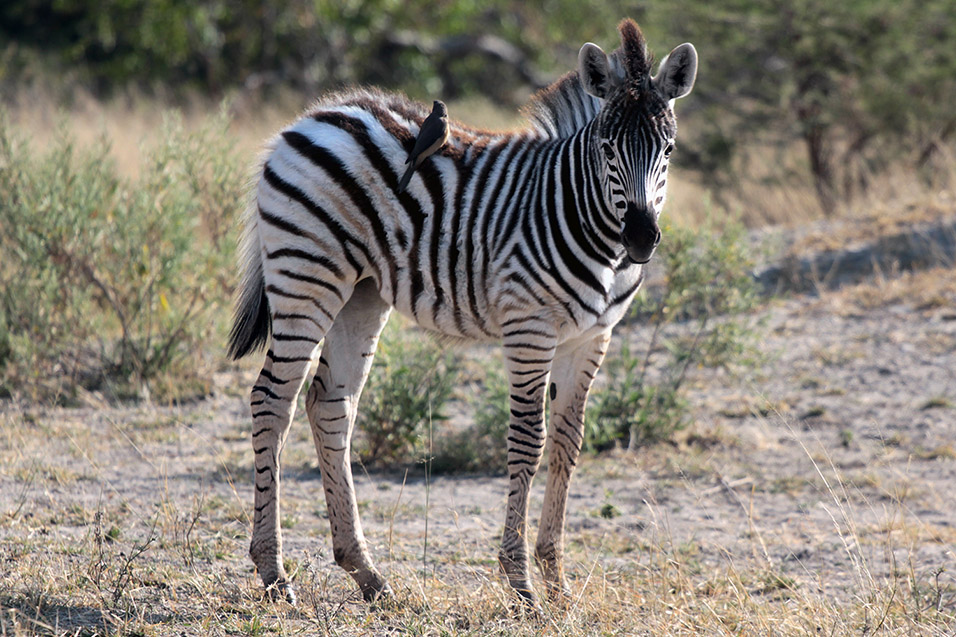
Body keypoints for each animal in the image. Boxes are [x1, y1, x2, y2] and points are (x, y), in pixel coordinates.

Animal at [229, 17, 700, 608]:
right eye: (607, 147)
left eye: (669, 148)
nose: (640, 238)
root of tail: (312, 116)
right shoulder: (529, 328)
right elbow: (528, 440)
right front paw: (522, 584)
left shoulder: (592, 337)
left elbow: (569, 443)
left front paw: (557, 581)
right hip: (307, 274)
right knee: (273, 401)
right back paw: (274, 573)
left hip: (361, 293)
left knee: (330, 405)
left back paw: (367, 574)